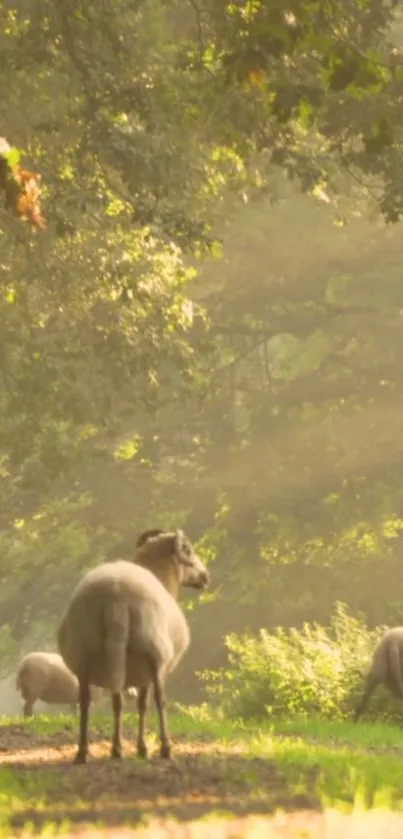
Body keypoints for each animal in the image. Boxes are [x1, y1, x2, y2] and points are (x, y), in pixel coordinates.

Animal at [58, 528, 210, 764]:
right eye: (188, 549)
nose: (205, 577)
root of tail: (115, 598)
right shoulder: (147, 669)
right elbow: (144, 704)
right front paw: (143, 748)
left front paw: (140, 747)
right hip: (153, 650)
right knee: (159, 699)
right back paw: (164, 748)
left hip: (84, 652)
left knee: (90, 701)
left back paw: (88, 751)